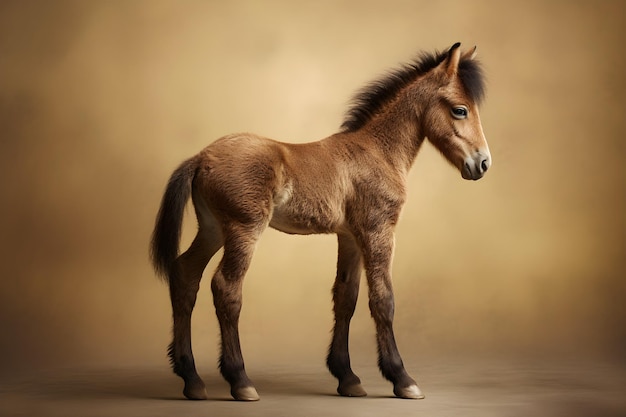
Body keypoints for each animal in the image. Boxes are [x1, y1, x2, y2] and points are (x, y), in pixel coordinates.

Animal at [150, 41, 488, 400]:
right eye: (460, 110)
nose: (483, 163)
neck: (377, 151)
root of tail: (200, 157)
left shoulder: (350, 236)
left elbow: (346, 297)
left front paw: (347, 377)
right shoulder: (378, 230)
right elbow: (383, 299)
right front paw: (401, 378)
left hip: (213, 229)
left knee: (185, 275)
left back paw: (192, 379)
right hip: (243, 229)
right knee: (226, 287)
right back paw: (240, 380)